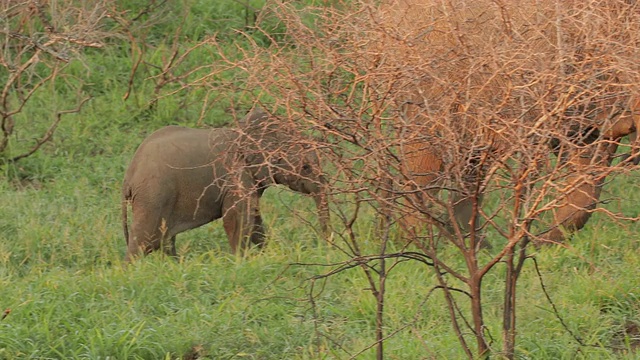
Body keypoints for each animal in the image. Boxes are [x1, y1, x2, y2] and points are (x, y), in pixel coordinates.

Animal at [120, 106, 330, 258]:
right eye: (305, 167)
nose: (325, 245)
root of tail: (129, 176)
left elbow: (254, 218)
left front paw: (263, 255)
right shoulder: (236, 175)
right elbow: (237, 219)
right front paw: (241, 261)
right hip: (153, 196)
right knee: (144, 239)